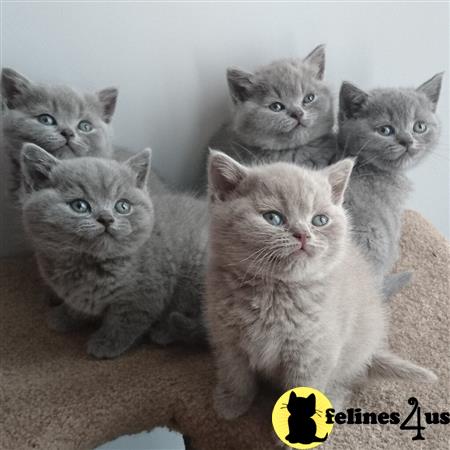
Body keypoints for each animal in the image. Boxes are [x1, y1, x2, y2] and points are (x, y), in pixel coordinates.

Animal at [22, 144, 208, 358]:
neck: (89, 265)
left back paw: (164, 332)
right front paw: (65, 316)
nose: (106, 219)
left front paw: (107, 343)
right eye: (79, 205)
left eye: (123, 206)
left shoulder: (145, 292)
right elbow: (79, 305)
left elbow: (126, 320)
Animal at [204, 151, 436, 418]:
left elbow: (306, 386)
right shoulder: (227, 340)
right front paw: (232, 404)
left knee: (344, 381)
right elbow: (235, 375)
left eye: (320, 220)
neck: (274, 294)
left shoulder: (315, 354)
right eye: (272, 218)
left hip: (350, 354)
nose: (303, 234)